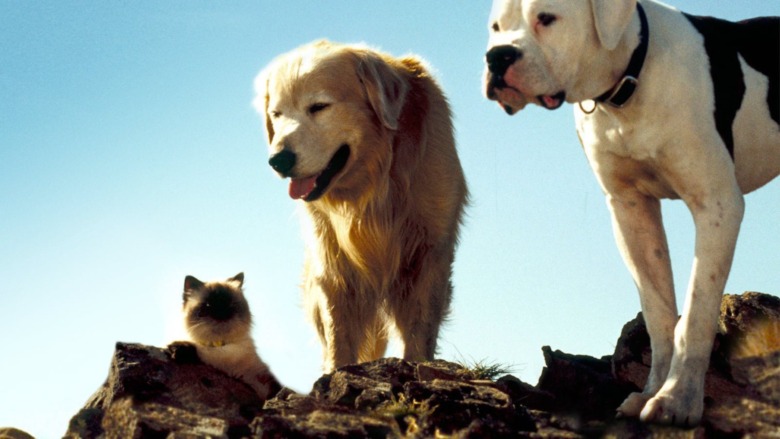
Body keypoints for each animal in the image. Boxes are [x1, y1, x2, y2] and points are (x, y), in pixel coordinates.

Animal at [484, 0, 776, 428]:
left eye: (547, 18)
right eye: (496, 28)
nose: (497, 57)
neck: (629, 82)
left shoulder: (717, 204)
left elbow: (696, 311)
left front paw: (678, 400)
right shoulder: (630, 211)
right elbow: (658, 312)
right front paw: (652, 392)